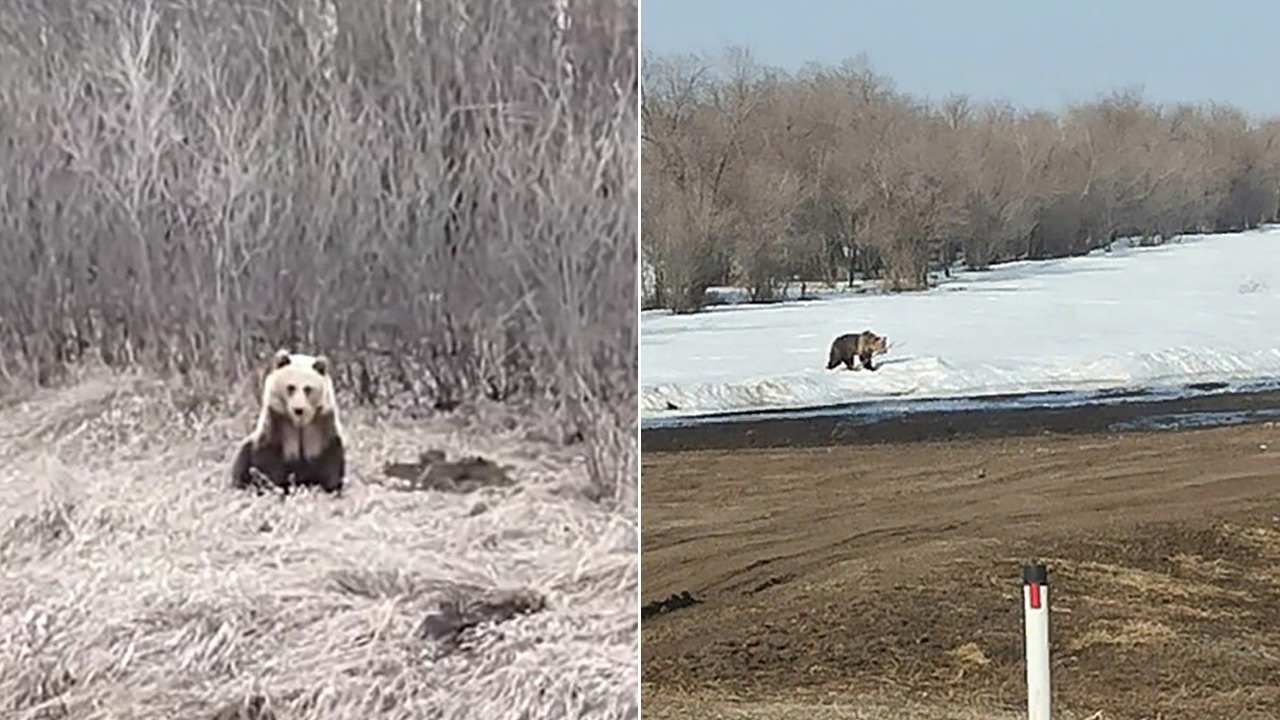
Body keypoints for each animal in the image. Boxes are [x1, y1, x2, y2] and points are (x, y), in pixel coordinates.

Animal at [231, 348, 348, 491]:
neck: (299, 424)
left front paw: (329, 487)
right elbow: (268, 462)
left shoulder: (322, 425)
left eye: (307, 388)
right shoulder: (277, 423)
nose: (298, 410)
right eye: (291, 387)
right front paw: (277, 487)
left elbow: (330, 461)